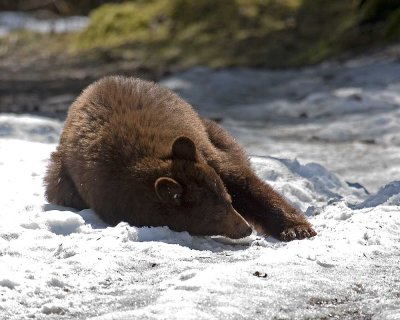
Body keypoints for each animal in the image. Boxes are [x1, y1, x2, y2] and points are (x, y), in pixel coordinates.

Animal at [43, 75, 318, 240]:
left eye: (229, 201)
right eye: (214, 215)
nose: (245, 228)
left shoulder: (205, 154)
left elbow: (245, 183)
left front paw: (296, 228)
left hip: (208, 130)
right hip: (60, 174)